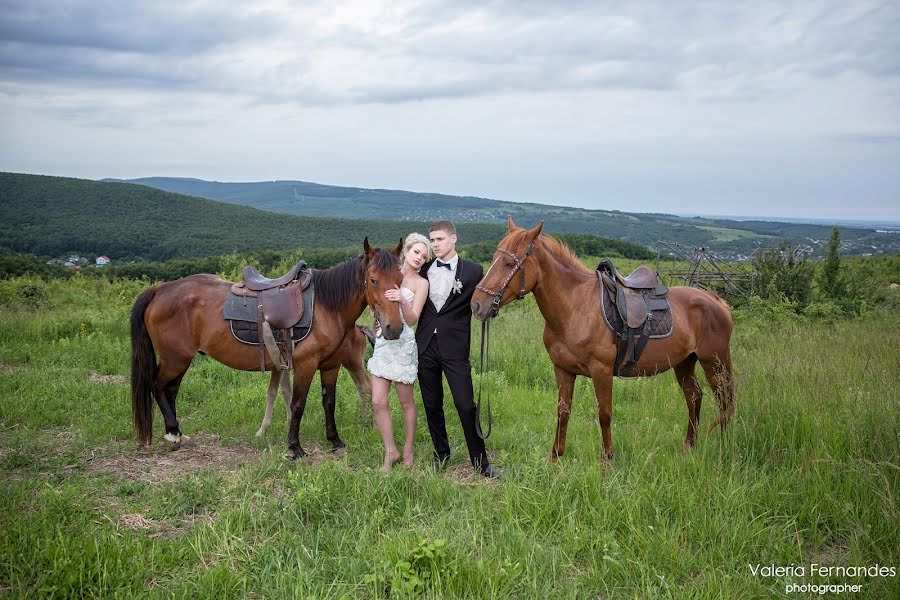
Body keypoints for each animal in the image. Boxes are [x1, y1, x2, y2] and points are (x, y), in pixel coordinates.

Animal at [132, 239, 402, 460]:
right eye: (374, 280)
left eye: (400, 281)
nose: (394, 328)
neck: (326, 306)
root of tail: (160, 289)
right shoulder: (305, 364)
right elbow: (297, 403)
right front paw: (295, 447)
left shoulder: (330, 365)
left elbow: (329, 402)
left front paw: (335, 441)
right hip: (175, 359)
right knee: (158, 386)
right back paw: (172, 434)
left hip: (180, 359)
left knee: (171, 390)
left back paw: (176, 432)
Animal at [468, 220, 736, 464]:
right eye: (494, 257)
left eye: (510, 263)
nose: (477, 305)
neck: (575, 308)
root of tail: (717, 301)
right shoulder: (563, 370)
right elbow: (562, 411)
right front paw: (555, 457)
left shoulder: (602, 371)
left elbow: (604, 413)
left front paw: (607, 460)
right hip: (684, 362)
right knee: (694, 396)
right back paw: (689, 446)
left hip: (714, 361)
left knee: (724, 399)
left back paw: (724, 447)